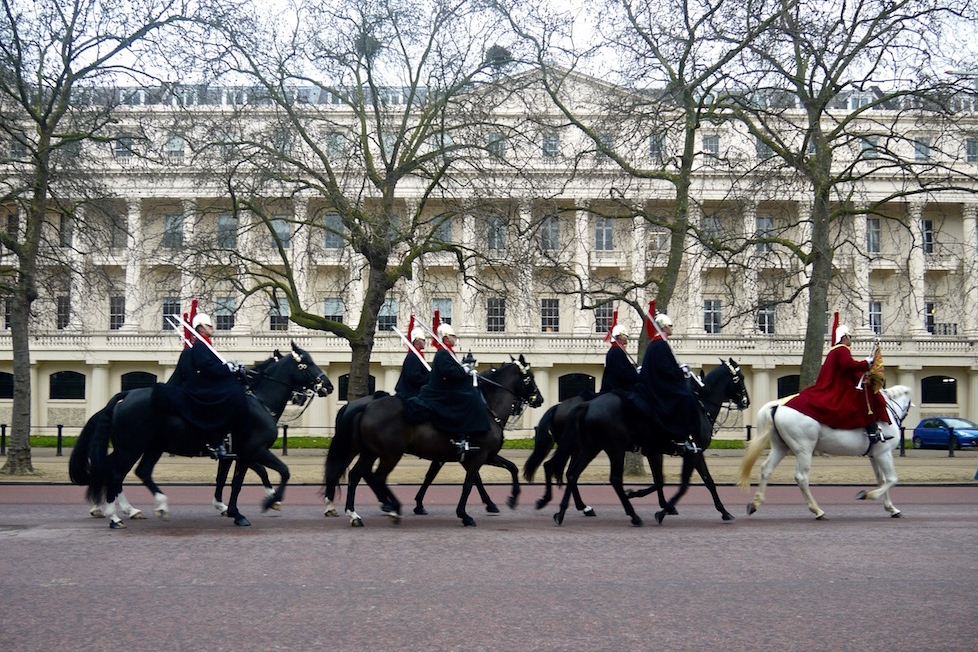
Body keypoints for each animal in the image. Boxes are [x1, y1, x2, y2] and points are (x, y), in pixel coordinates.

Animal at [69, 344, 332, 528]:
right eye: (307, 363)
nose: (328, 386)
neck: (259, 401)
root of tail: (125, 396)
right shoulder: (254, 450)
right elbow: (277, 472)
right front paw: (267, 501)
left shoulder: (238, 454)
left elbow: (231, 480)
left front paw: (232, 508)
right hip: (131, 447)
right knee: (115, 473)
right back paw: (115, 515)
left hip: (147, 447)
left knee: (134, 472)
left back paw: (138, 508)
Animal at [326, 354, 540, 528]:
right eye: (529, 377)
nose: (539, 399)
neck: (488, 409)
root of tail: (367, 405)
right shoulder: (477, 456)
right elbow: (469, 483)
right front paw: (465, 514)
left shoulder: (482, 456)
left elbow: (511, 468)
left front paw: (510, 499)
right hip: (389, 454)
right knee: (375, 477)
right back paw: (392, 507)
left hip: (369, 452)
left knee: (356, 474)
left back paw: (355, 514)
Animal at [548, 360, 748, 528]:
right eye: (740, 378)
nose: (746, 401)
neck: (700, 406)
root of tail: (587, 405)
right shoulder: (688, 453)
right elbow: (681, 484)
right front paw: (661, 510)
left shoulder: (675, 452)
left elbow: (703, 481)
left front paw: (723, 511)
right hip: (613, 449)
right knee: (612, 479)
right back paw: (632, 515)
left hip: (591, 448)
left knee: (572, 473)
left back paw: (563, 512)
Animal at [736, 388, 912, 520]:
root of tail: (778, 405)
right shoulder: (884, 453)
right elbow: (891, 479)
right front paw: (867, 495)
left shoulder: (875, 455)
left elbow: (882, 480)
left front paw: (891, 508)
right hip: (804, 450)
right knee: (801, 477)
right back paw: (817, 511)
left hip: (781, 447)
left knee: (766, 469)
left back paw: (755, 504)